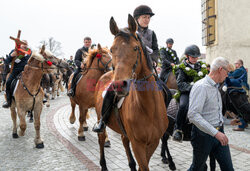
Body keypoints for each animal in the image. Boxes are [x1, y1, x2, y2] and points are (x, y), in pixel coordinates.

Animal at [94, 15, 169, 171]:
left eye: (135, 48)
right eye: (112, 49)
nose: (119, 85)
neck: (148, 108)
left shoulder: (153, 142)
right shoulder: (138, 144)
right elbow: (144, 166)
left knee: (123, 140)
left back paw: (131, 164)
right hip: (100, 118)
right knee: (101, 139)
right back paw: (103, 165)